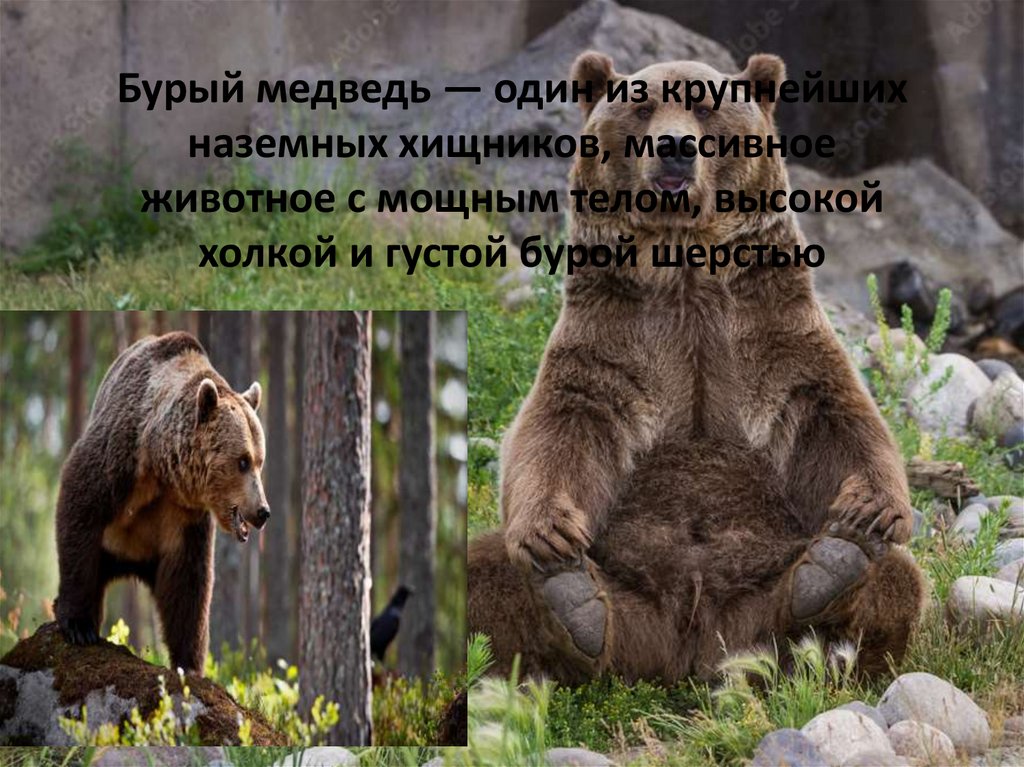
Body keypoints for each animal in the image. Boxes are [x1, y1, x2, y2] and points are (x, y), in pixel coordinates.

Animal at [54, 331, 270, 675]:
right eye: (242, 461)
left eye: (260, 461)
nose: (262, 511)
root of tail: (127, 562)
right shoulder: (120, 460)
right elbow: (80, 507)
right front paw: (78, 625)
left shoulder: (183, 515)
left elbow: (187, 582)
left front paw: (189, 664)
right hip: (107, 549)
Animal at [467, 52, 926, 685]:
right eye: (641, 108)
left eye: (705, 107)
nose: (675, 147)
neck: (683, 265)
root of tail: (689, 647)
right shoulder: (611, 337)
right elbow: (560, 426)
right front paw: (549, 534)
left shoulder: (771, 330)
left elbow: (835, 414)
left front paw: (872, 510)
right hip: (629, 594)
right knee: (481, 575)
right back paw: (573, 603)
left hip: (758, 596)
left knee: (896, 579)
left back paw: (834, 569)